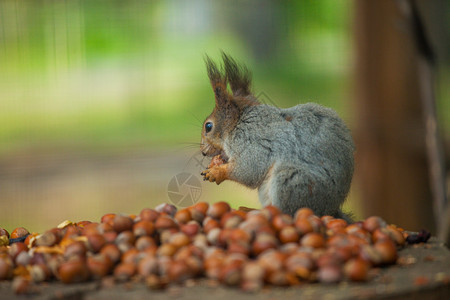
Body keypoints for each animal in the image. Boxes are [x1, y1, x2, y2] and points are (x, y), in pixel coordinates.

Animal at [200, 52, 356, 221]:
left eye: (208, 126)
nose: (203, 152)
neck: (238, 123)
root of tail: (329, 210)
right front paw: (216, 163)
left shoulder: (252, 142)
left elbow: (248, 170)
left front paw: (216, 172)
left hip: (292, 182)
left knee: (287, 212)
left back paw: (252, 211)